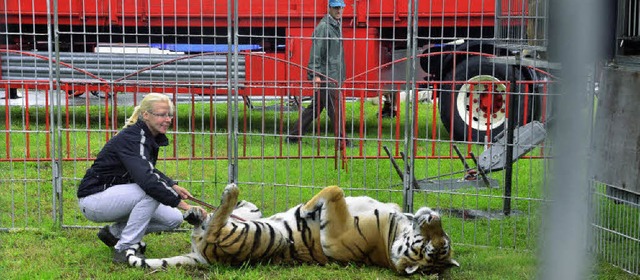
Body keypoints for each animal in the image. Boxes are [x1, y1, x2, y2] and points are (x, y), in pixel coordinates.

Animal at [122, 184, 458, 276]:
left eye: (430, 247)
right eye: (436, 240)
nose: (432, 217)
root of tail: (202, 258)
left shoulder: (334, 238)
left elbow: (332, 191)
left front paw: (308, 208)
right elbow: (334, 190)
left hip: (267, 235)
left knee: (215, 227)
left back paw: (226, 195)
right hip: (254, 212)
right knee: (216, 216)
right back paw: (196, 211)